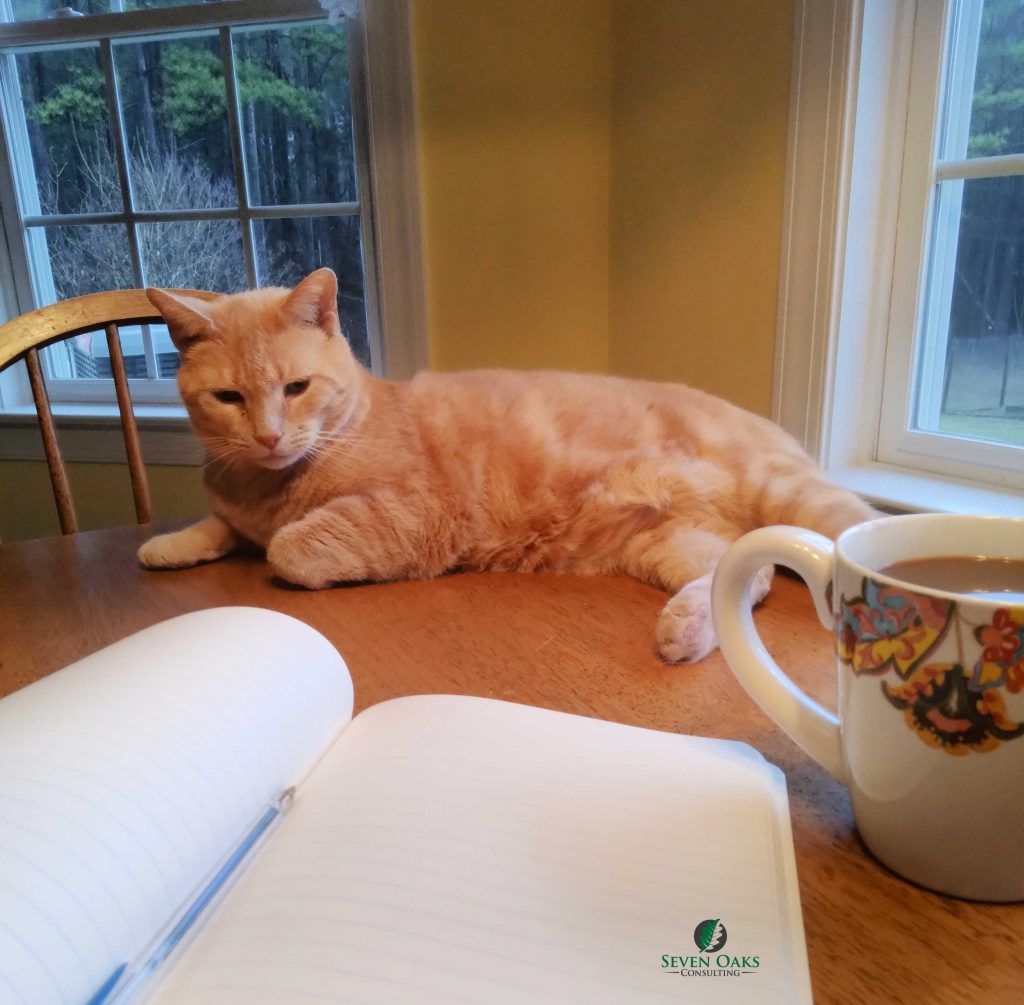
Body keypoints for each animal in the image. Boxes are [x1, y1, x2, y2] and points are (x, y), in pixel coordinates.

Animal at [138, 264, 872, 667]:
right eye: (229, 398)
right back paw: (690, 625)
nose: (268, 436)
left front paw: (271, 544)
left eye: (296, 388)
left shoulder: (412, 515)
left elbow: (286, 547)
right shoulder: (236, 503)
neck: (271, 482)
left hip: (793, 496)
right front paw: (170, 544)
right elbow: (219, 525)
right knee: (748, 580)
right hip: (666, 542)